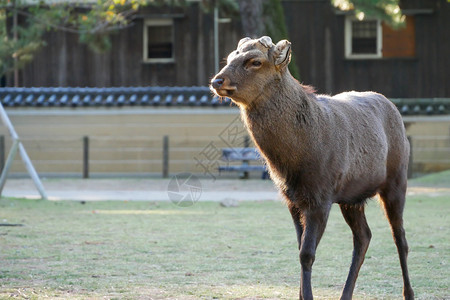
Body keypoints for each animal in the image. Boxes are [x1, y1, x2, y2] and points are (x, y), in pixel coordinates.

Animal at [211, 37, 414, 300]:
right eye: (229, 57)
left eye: (255, 61)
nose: (217, 80)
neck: (293, 163)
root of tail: (394, 108)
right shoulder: (292, 200)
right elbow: (300, 248)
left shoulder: (320, 197)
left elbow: (307, 254)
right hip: (352, 198)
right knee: (364, 236)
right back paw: (346, 294)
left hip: (397, 180)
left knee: (400, 237)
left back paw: (408, 293)